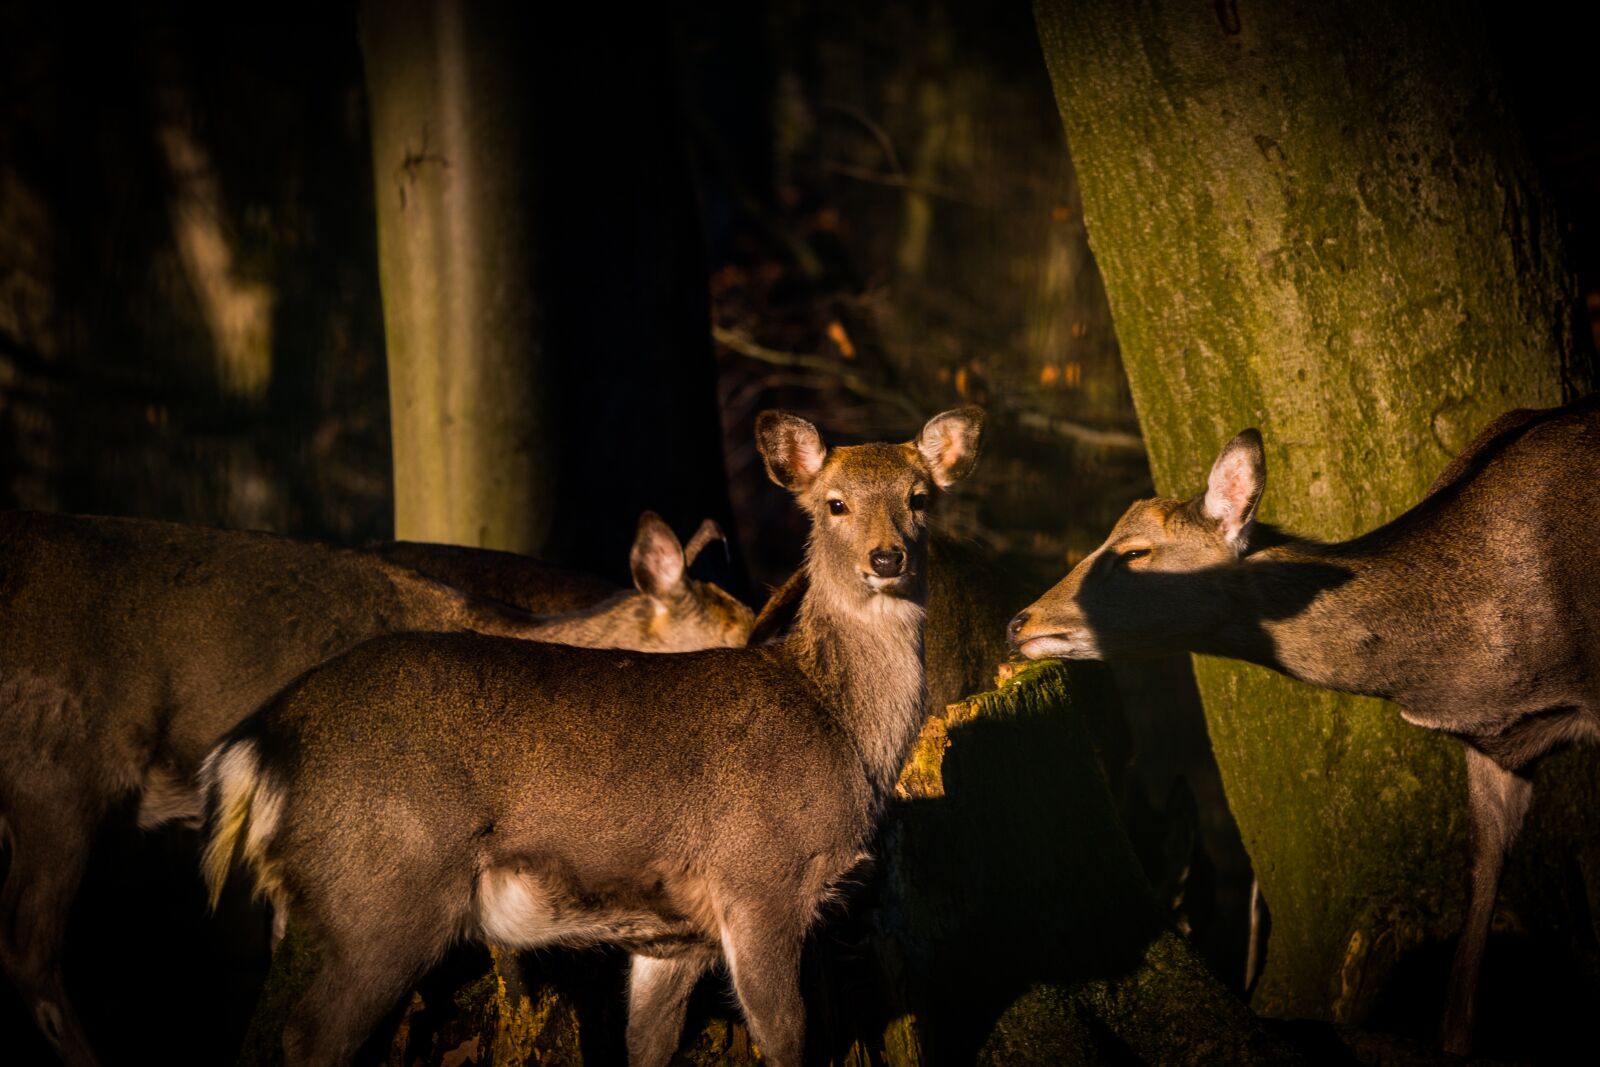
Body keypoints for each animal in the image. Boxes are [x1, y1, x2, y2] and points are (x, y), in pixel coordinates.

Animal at [198, 407, 984, 1067]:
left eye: (919, 498)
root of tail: (259, 742)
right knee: (309, 1035)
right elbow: (787, 1037)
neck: (840, 726)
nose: (886, 558)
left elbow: (648, 1044)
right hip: (382, 887)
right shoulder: (758, 878)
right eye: (834, 503)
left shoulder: (675, 935)